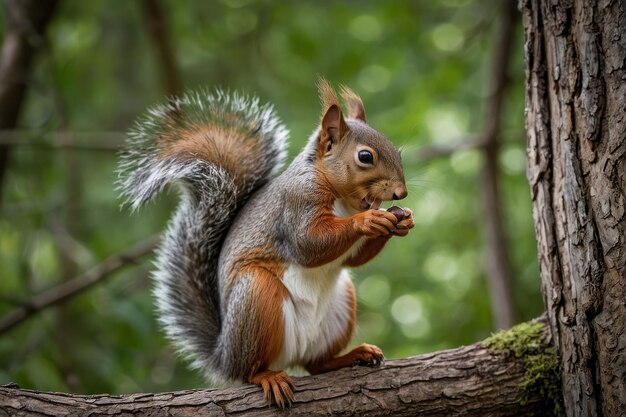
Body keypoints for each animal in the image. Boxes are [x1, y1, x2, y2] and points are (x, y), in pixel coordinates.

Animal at [116, 79, 414, 408]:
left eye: (397, 151)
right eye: (365, 157)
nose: (401, 193)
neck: (342, 200)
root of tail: (224, 357)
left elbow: (351, 259)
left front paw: (401, 220)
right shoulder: (297, 203)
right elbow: (308, 245)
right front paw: (368, 221)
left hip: (339, 306)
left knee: (316, 364)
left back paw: (352, 356)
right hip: (255, 296)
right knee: (250, 369)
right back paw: (267, 376)